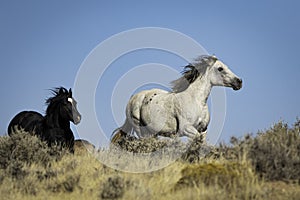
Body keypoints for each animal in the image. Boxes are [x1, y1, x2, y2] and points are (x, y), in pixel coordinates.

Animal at [111, 55, 243, 143]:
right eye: (220, 68)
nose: (239, 82)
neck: (197, 101)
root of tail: (133, 98)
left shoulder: (203, 130)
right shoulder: (186, 129)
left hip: (152, 132)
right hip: (140, 129)